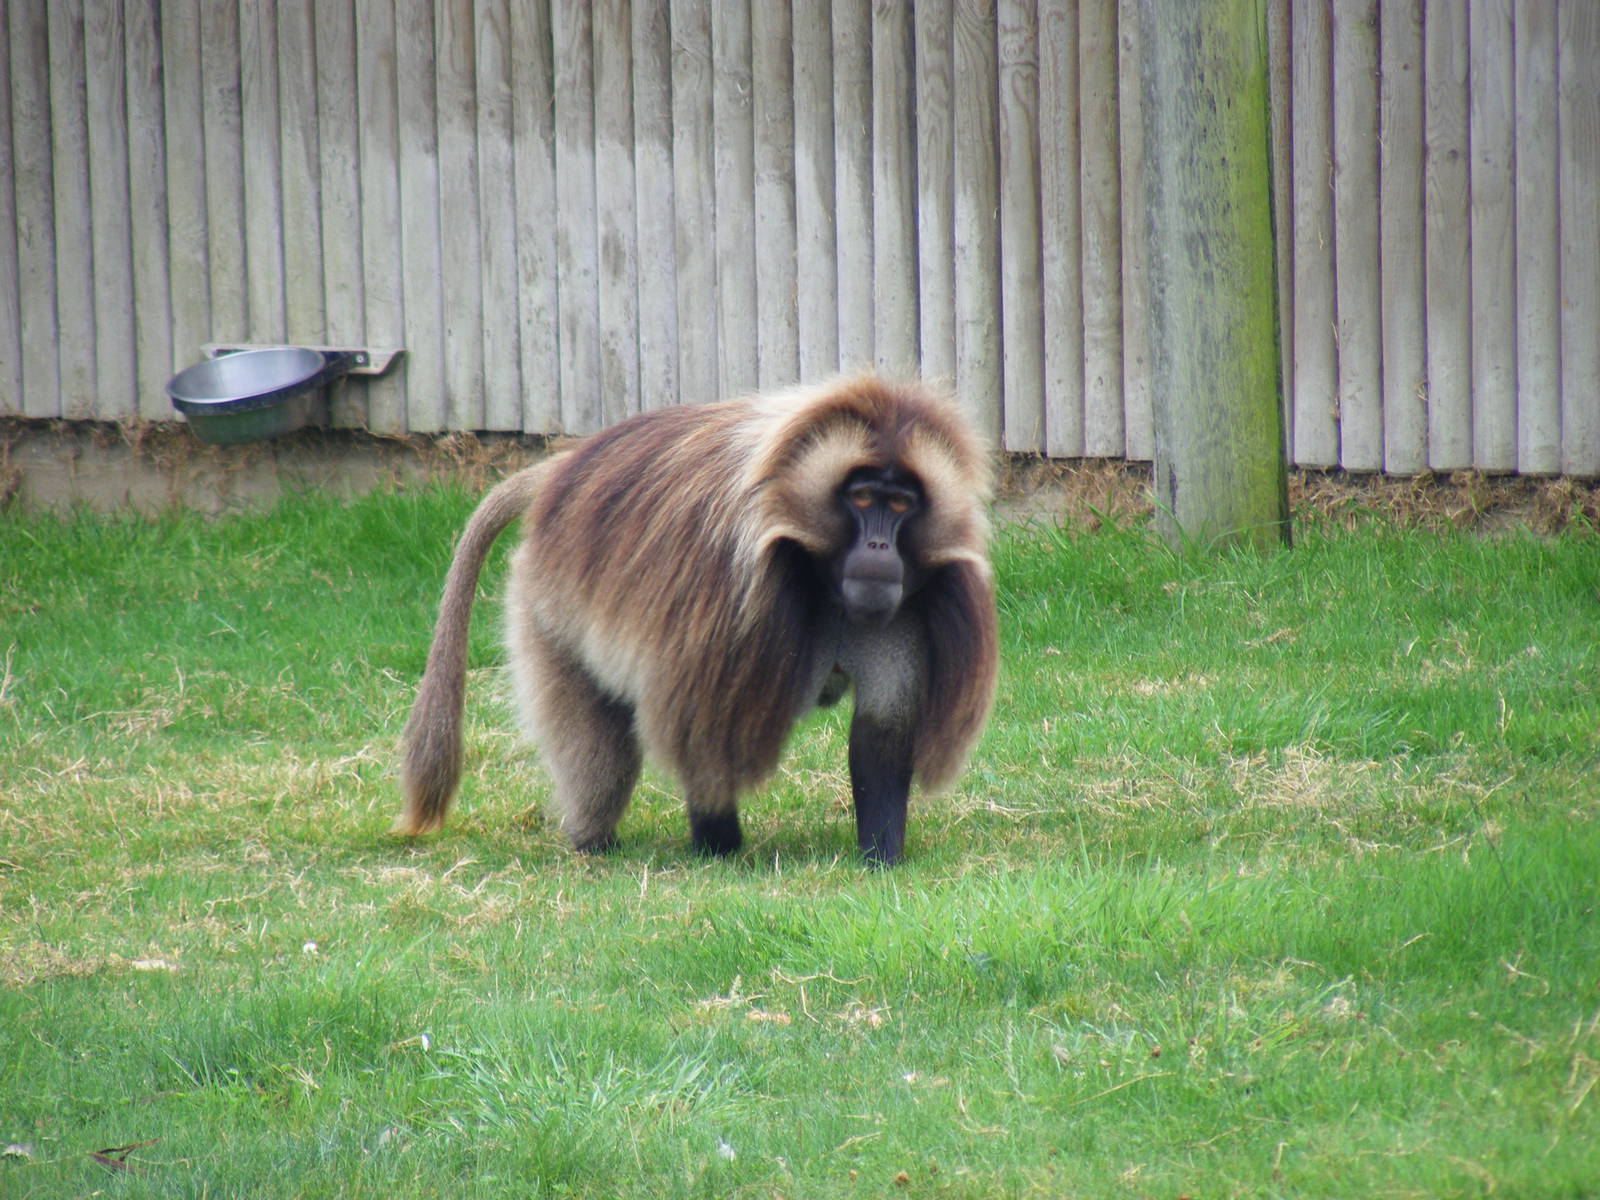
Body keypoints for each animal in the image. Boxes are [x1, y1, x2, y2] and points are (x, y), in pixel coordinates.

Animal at [394, 372, 998, 865]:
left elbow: (881, 741)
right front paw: (718, 849)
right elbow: (704, 727)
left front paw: (880, 860)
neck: (822, 577)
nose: (878, 546)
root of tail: (566, 469)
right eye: (865, 497)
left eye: (901, 505)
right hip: (550, 604)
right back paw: (594, 843)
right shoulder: (727, 595)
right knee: (603, 752)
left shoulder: (901, 618)